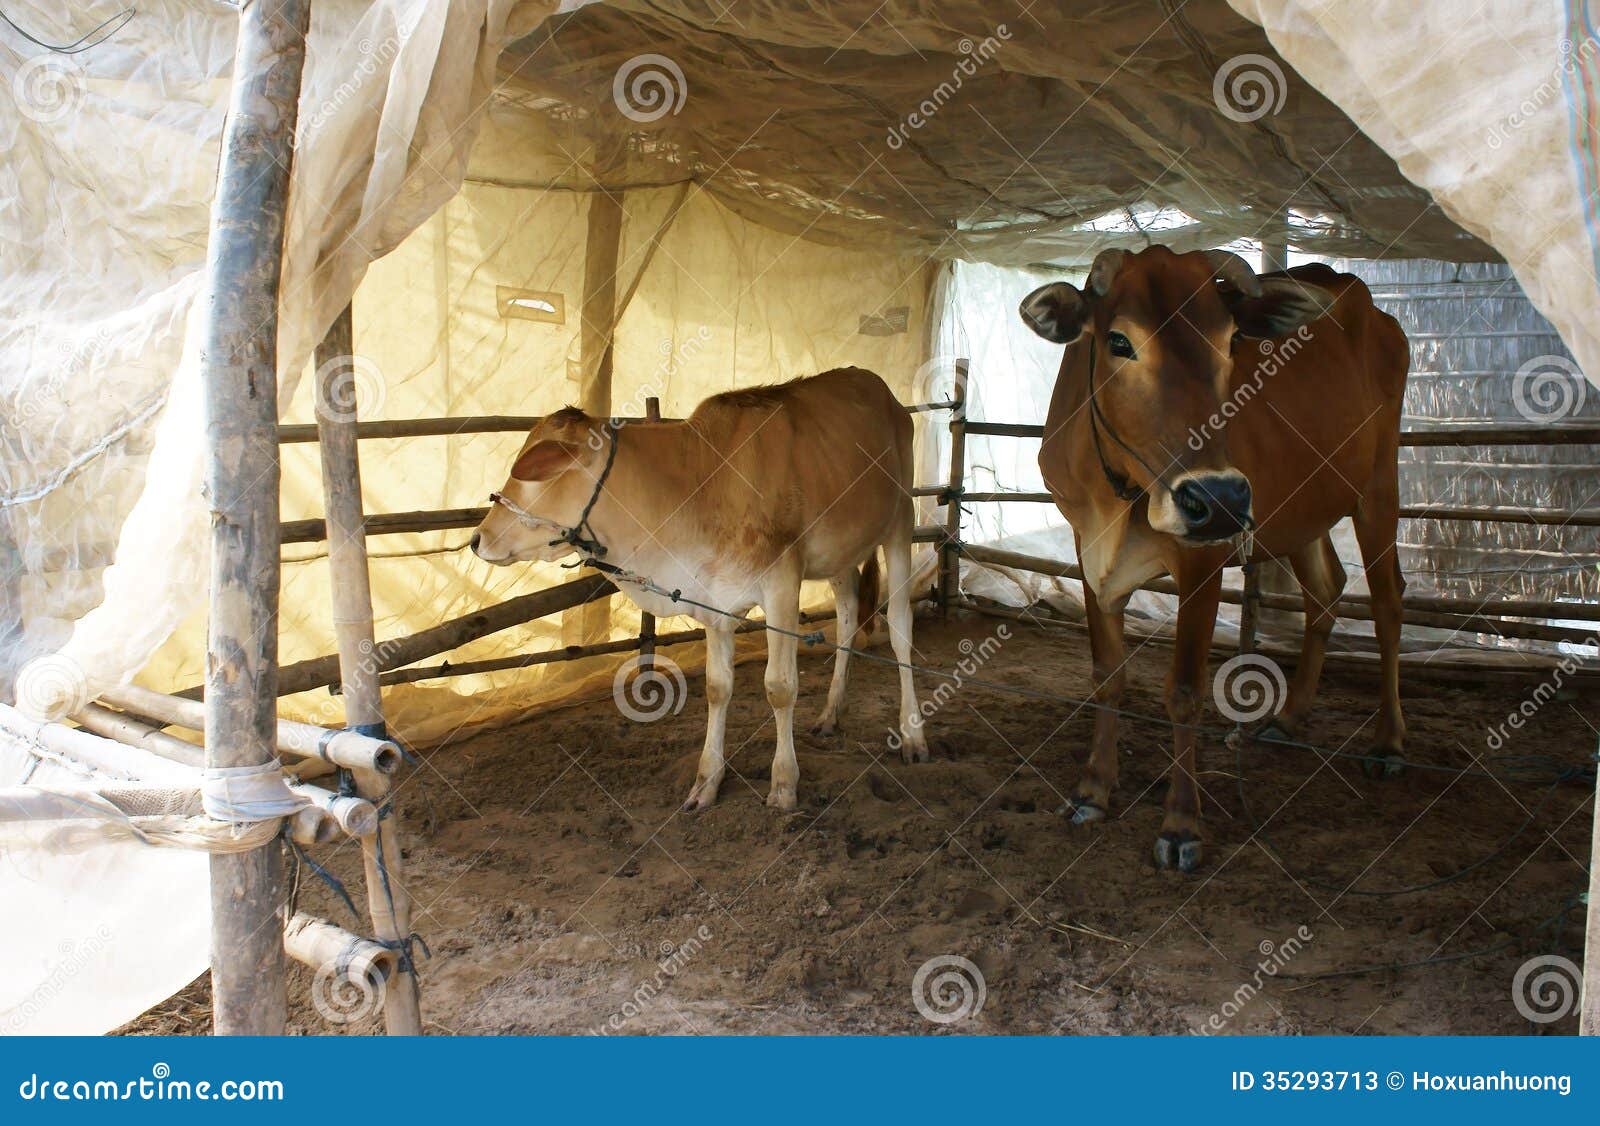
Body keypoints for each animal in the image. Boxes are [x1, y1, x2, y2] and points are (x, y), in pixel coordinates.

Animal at [467, 364, 934, 812]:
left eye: (530, 470)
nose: (477, 539)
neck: (700, 485)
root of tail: (881, 390)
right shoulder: (713, 598)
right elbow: (716, 687)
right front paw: (707, 782)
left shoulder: (782, 584)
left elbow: (780, 687)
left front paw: (784, 784)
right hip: (840, 552)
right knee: (849, 613)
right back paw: (831, 714)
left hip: (900, 521)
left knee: (899, 627)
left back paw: (913, 737)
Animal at [1017, 244, 1408, 870]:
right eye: (1119, 341)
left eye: (1231, 341)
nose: (1219, 498)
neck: (1121, 494)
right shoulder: (1087, 550)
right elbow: (1107, 676)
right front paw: (1093, 791)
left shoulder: (1203, 560)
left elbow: (1184, 692)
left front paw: (1181, 825)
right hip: (1304, 509)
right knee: (1325, 592)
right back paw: (1289, 718)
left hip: (1377, 487)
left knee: (1389, 603)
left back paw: (1390, 741)